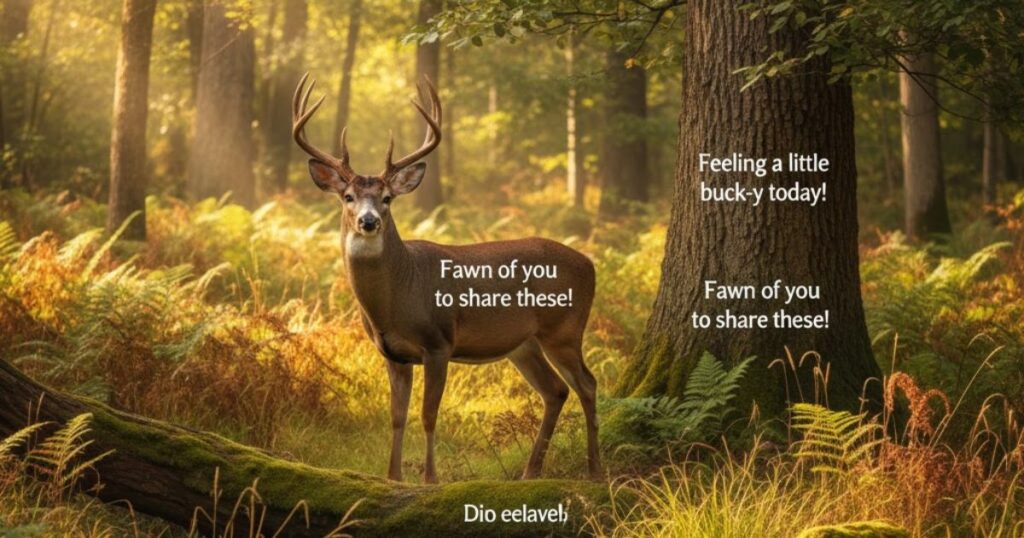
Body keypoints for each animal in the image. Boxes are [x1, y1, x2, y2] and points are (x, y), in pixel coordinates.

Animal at [291, 73, 601, 484]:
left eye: (387, 198)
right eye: (348, 196)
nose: (368, 221)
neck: (397, 298)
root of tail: (590, 265)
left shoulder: (438, 342)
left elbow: (428, 415)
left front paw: (430, 479)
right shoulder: (393, 354)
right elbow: (396, 417)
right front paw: (393, 477)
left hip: (563, 328)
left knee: (587, 384)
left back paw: (595, 470)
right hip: (524, 344)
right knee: (555, 391)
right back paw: (530, 473)